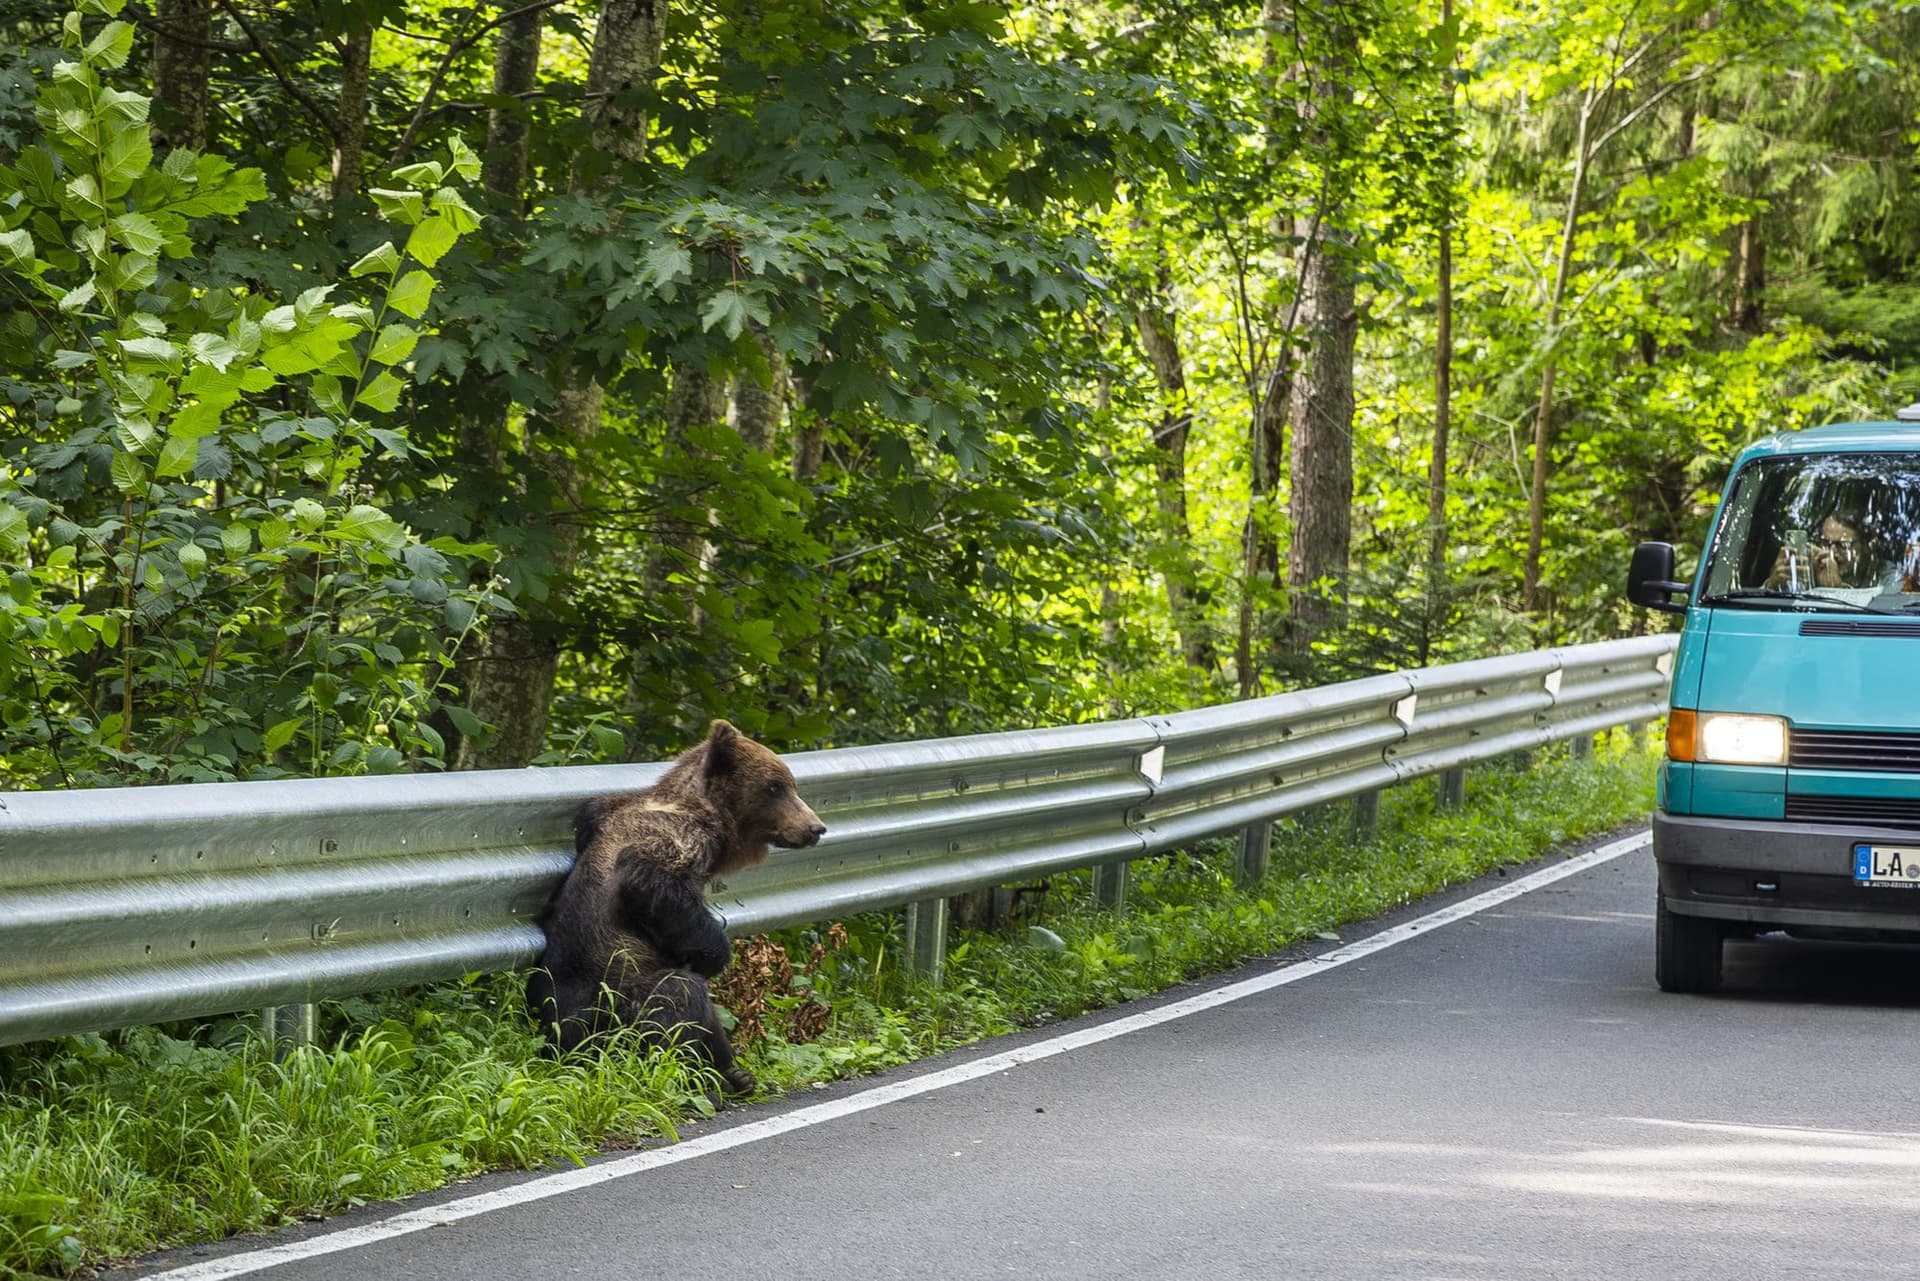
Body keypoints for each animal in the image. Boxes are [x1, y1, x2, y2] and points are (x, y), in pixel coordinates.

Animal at [526, 719, 826, 1095]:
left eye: (789, 784)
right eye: (776, 786)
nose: (816, 828)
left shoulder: (596, 814)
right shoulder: (675, 840)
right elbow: (654, 885)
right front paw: (714, 953)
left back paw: (735, 1074)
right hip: (611, 1003)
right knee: (677, 996)